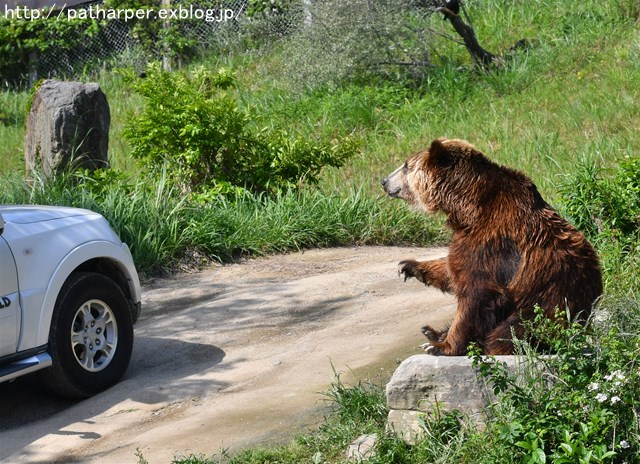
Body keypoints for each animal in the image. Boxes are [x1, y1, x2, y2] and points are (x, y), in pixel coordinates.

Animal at [382, 138, 604, 356]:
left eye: (406, 165)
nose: (384, 181)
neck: (466, 205)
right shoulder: (470, 236)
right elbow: (452, 268)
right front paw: (409, 266)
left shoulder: (494, 241)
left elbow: (477, 292)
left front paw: (444, 347)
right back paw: (432, 331)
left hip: (548, 298)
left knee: (513, 330)